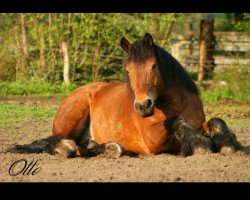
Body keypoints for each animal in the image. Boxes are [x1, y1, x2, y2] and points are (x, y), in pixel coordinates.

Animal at [8, 32, 242, 158]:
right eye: (128, 71)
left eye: (153, 66)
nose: (143, 106)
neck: (175, 103)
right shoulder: (152, 139)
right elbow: (176, 122)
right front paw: (201, 145)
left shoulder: (199, 123)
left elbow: (216, 121)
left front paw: (230, 144)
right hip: (73, 117)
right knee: (58, 142)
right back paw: (69, 147)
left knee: (85, 146)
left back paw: (110, 148)